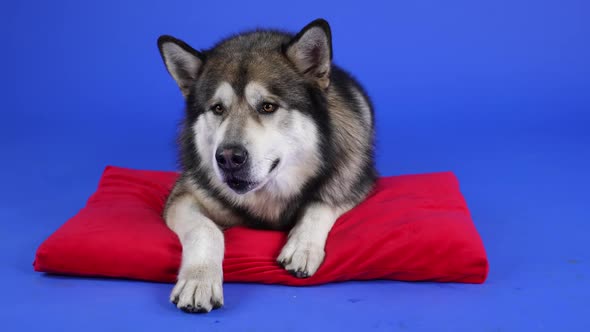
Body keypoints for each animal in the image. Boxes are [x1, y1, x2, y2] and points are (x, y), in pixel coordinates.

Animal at [157, 18, 380, 314]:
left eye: (267, 106)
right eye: (218, 108)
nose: (228, 157)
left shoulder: (353, 182)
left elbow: (321, 203)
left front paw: (303, 246)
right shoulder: (184, 195)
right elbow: (207, 229)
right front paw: (199, 279)